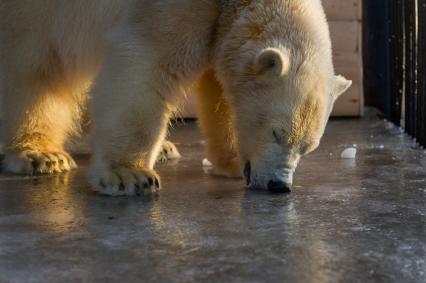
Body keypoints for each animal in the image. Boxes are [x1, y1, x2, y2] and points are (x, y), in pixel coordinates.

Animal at [0, 0, 352, 196]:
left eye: (308, 148)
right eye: (277, 133)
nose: (280, 186)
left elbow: (219, 88)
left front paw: (233, 160)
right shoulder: (172, 7)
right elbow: (147, 62)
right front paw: (129, 174)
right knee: (33, 70)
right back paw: (39, 155)